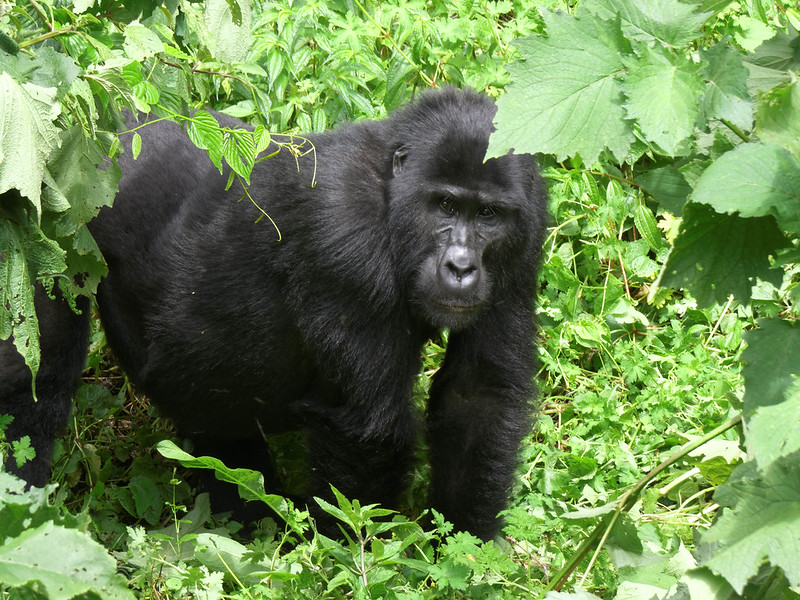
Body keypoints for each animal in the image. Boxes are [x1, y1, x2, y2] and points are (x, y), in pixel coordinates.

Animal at [0, 86, 552, 540]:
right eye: (444, 206)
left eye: (488, 215)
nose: (461, 267)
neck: (390, 191)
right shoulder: (343, 231)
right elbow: (368, 430)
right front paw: (356, 560)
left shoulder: (528, 230)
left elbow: (477, 396)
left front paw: (462, 552)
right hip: (37, 219)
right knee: (35, 387)